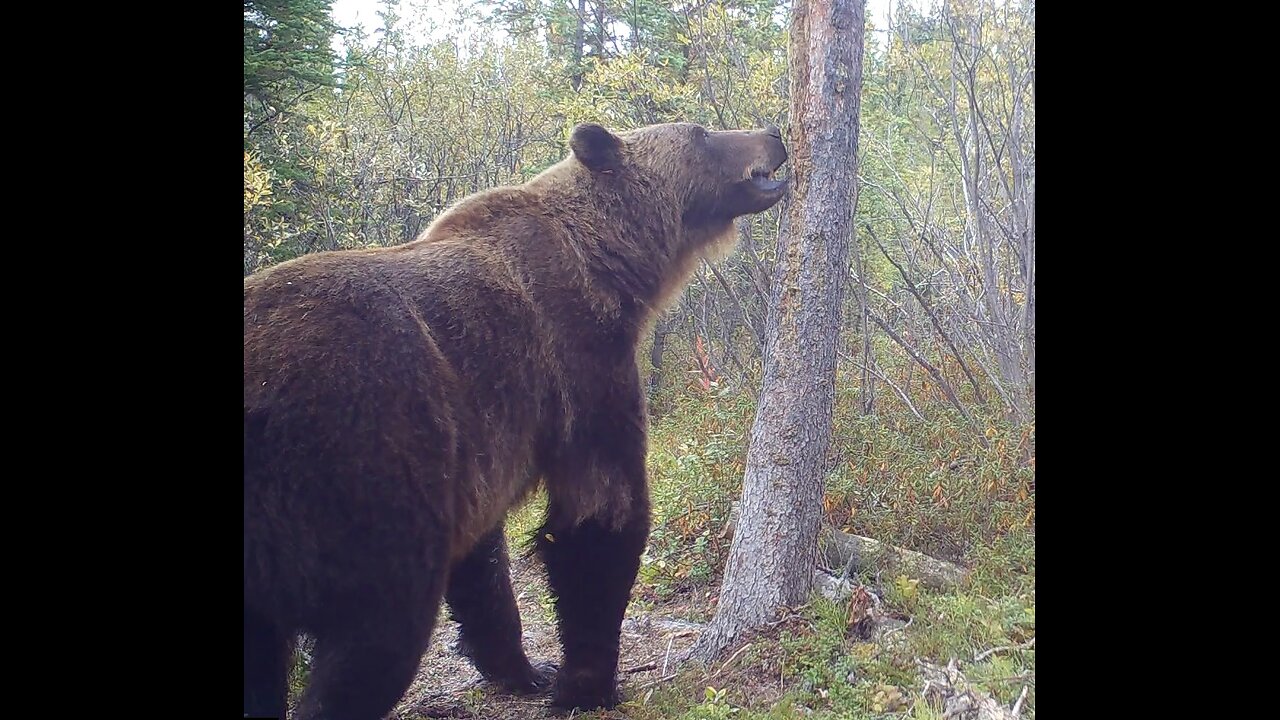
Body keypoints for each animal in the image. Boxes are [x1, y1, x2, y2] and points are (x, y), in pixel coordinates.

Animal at [239, 120, 778, 712]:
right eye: (701, 133)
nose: (773, 133)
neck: (612, 263)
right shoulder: (578, 360)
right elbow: (601, 512)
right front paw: (586, 683)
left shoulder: (482, 443)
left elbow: (485, 562)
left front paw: (526, 668)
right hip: (359, 457)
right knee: (378, 630)